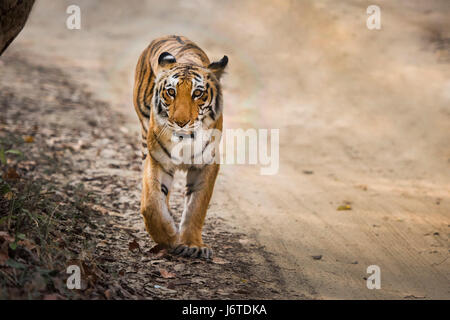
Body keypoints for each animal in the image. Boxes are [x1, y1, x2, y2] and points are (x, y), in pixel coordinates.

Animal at [132, 35, 227, 260]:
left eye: (198, 93)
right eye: (171, 92)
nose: (180, 122)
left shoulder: (207, 163)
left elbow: (197, 206)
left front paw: (192, 245)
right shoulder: (157, 159)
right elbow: (151, 204)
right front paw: (169, 236)